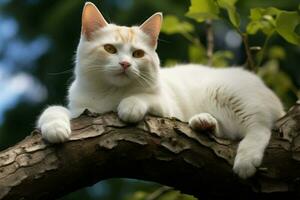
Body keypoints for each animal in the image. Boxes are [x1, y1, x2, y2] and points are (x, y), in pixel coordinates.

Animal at [37, 2, 284, 179]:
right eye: (109, 49)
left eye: (138, 54)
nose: (125, 64)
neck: (109, 92)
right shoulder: (81, 111)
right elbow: (53, 110)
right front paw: (55, 128)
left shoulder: (166, 108)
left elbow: (143, 97)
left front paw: (129, 106)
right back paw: (204, 123)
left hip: (231, 95)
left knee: (260, 126)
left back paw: (246, 158)